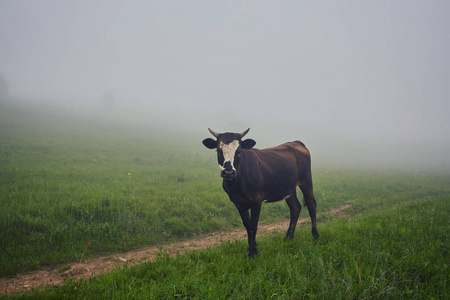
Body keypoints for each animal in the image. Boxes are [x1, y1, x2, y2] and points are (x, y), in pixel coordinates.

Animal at [202, 127, 318, 256]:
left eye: (239, 151)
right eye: (218, 150)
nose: (228, 172)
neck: (236, 184)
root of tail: (296, 142)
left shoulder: (256, 200)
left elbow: (253, 225)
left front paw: (253, 252)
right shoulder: (238, 202)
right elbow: (247, 225)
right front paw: (251, 248)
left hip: (306, 180)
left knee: (311, 205)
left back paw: (315, 236)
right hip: (289, 188)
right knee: (295, 208)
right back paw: (288, 238)